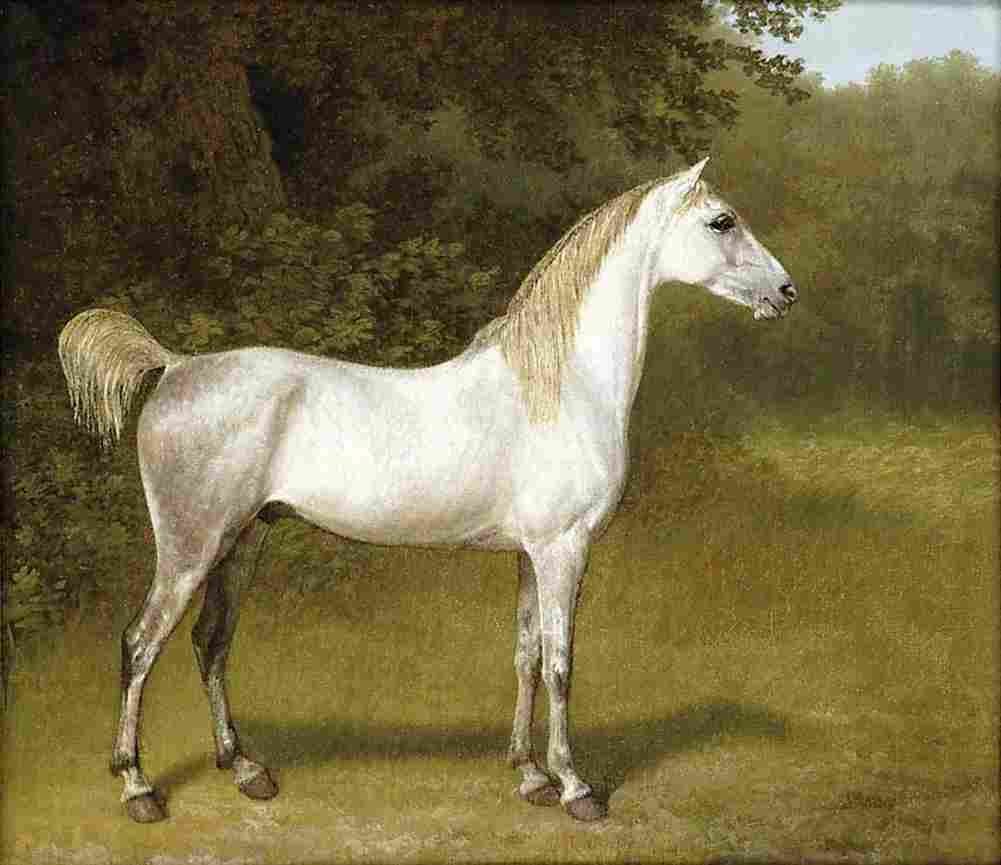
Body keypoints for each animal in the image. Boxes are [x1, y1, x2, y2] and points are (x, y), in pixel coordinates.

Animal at [58, 158, 797, 824]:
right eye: (721, 221)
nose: (786, 292)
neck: (560, 386)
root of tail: (176, 366)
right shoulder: (563, 549)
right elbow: (561, 663)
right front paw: (574, 787)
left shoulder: (529, 554)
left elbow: (526, 655)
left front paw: (528, 775)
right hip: (191, 546)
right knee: (140, 645)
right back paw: (139, 790)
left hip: (242, 541)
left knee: (210, 643)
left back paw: (245, 771)